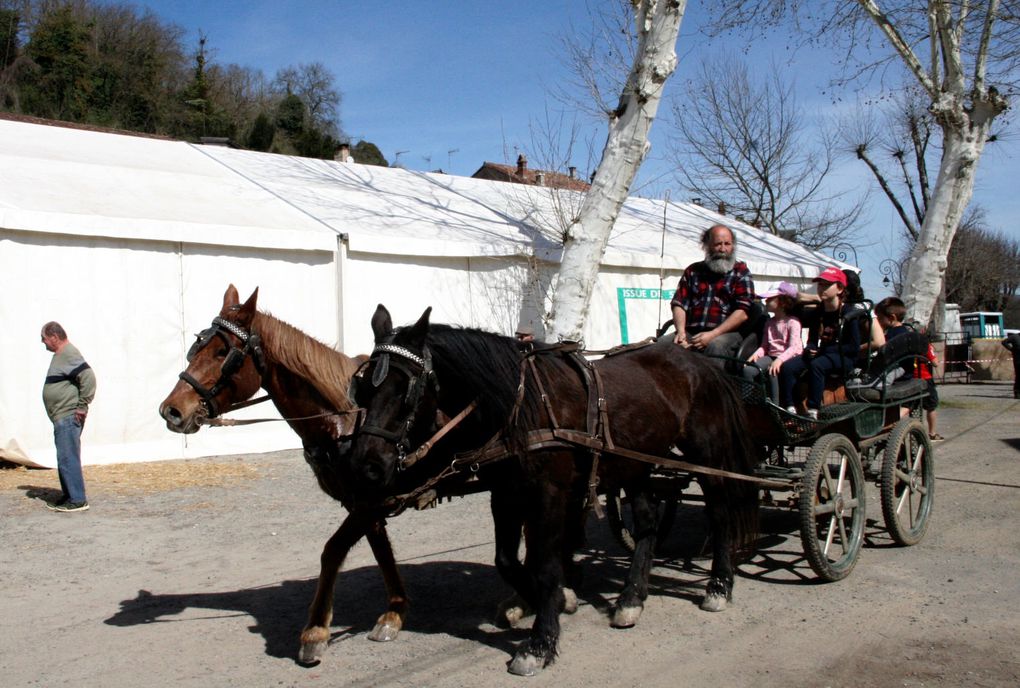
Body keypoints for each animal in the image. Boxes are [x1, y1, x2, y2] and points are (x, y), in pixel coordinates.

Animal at [157, 283, 399, 660]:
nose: (172, 410)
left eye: (223, 352)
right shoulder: (363, 501)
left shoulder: (368, 500)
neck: (345, 420)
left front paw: (315, 630)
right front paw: (394, 612)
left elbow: (333, 551)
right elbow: (380, 549)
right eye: (197, 346)